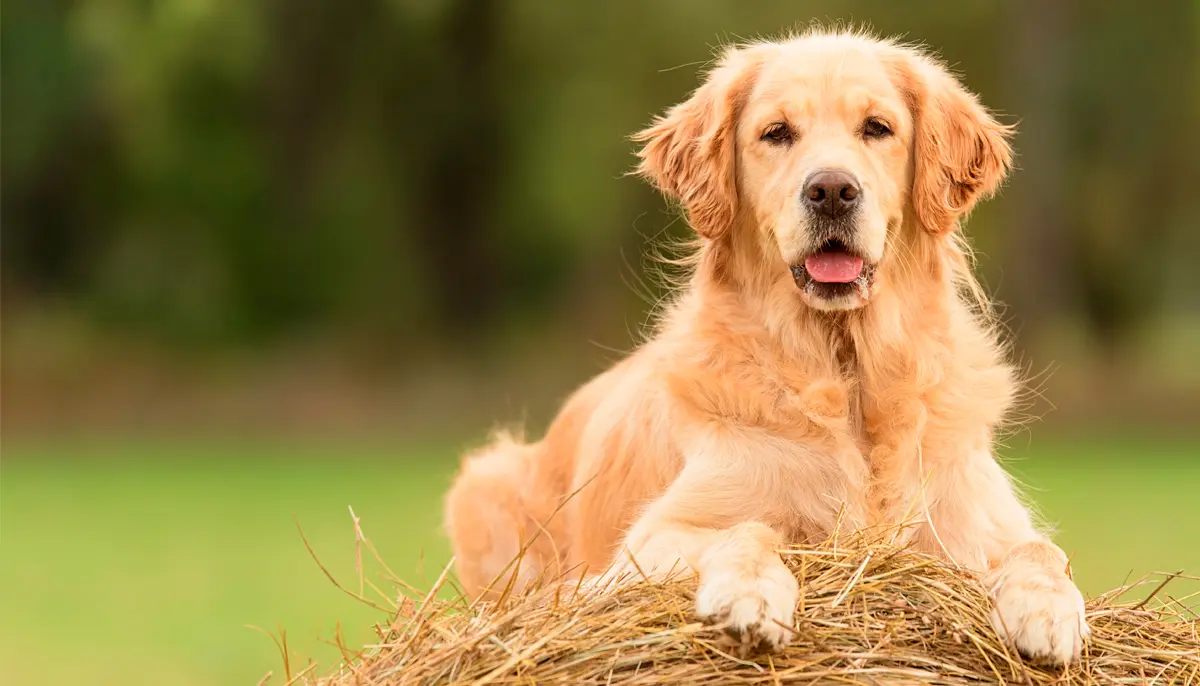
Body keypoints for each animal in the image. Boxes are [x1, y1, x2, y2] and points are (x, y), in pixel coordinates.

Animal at [446, 29, 1094, 666]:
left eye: (877, 128)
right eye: (776, 133)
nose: (831, 190)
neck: (846, 371)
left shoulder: (977, 522)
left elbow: (1043, 553)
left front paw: (1049, 612)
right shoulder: (651, 539)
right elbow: (749, 531)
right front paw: (750, 595)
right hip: (485, 484)